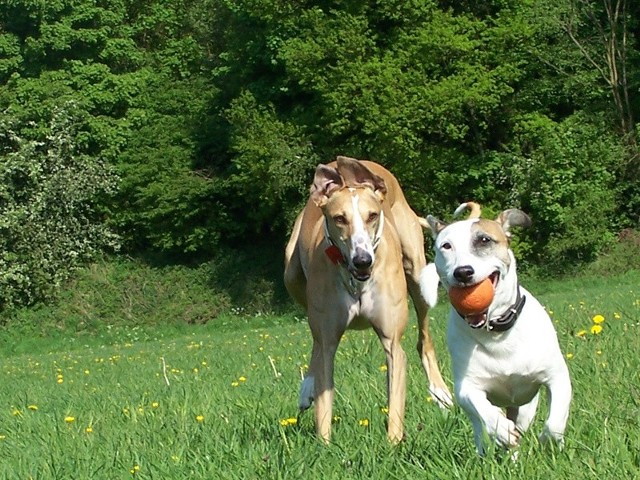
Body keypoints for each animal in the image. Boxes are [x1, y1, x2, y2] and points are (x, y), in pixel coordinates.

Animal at [282, 158, 452, 442]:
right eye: (339, 219)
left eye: (372, 215)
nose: (363, 260)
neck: (356, 281)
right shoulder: (328, 341)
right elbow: (324, 400)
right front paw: (324, 446)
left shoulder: (393, 344)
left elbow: (395, 404)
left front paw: (393, 445)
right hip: (291, 272)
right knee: (316, 344)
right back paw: (307, 387)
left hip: (416, 272)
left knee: (424, 339)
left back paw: (440, 392)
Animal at [422, 204, 572, 456]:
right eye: (446, 246)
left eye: (484, 240)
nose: (463, 272)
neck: (496, 332)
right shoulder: (466, 386)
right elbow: (480, 406)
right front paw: (501, 429)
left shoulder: (557, 376)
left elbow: (555, 420)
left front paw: (549, 442)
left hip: (524, 409)